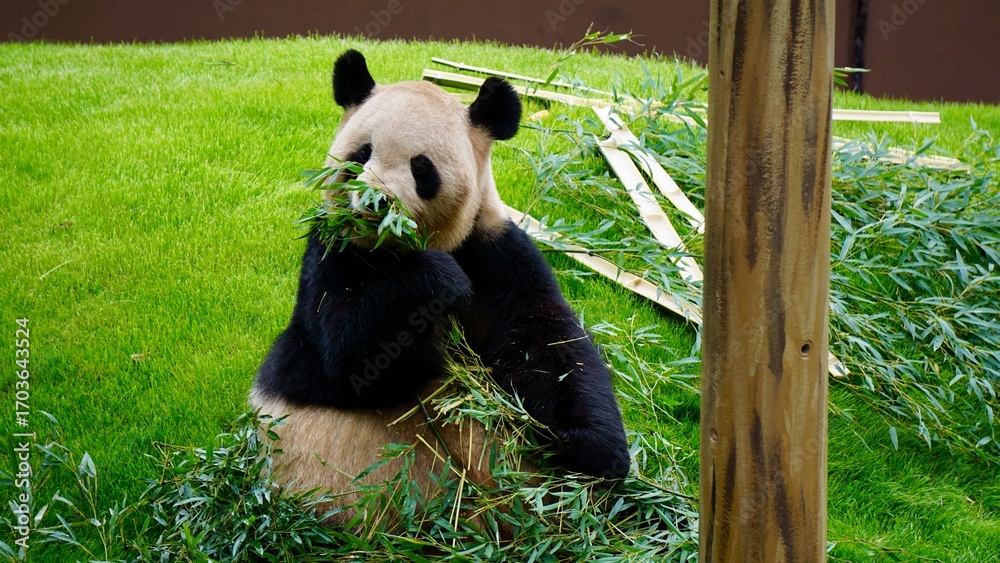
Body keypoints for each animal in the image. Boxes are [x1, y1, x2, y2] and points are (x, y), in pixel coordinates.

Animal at [250, 49, 630, 524]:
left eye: (421, 167)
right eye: (362, 154)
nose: (376, 201)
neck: (393, 250)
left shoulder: (493, 251)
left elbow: (546, 340)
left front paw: (592, 450)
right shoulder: (332, 251)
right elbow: (344, 351)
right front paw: (438, 283)